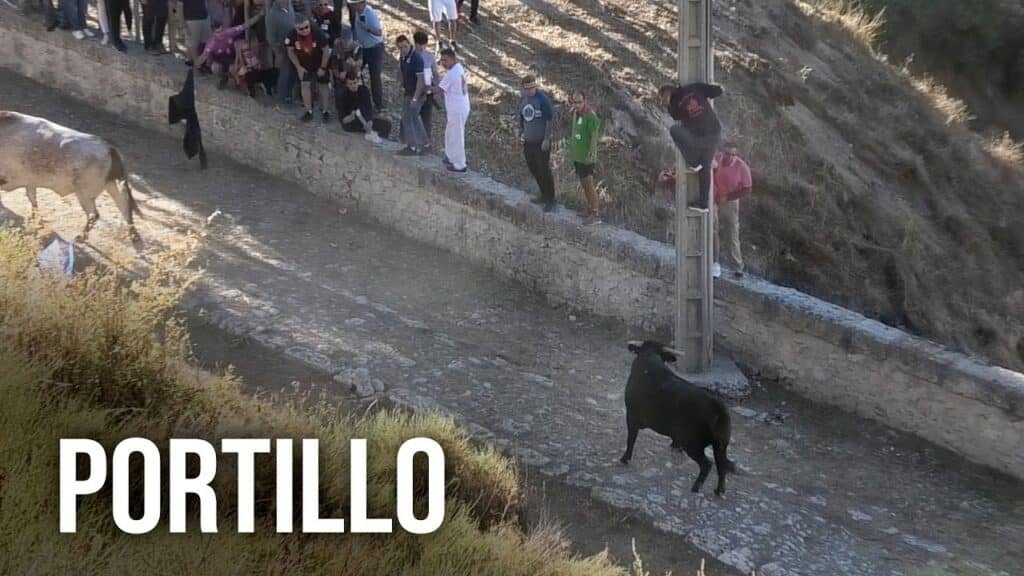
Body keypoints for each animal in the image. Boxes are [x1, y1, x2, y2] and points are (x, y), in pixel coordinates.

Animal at [0, 111, 140, 240]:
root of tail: (108, 148)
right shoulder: (30, 183)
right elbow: (32, 199)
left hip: (85, 194)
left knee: (94, 214)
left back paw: (81, 237)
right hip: (110, 185)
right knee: (124, 204)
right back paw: (133, 235)